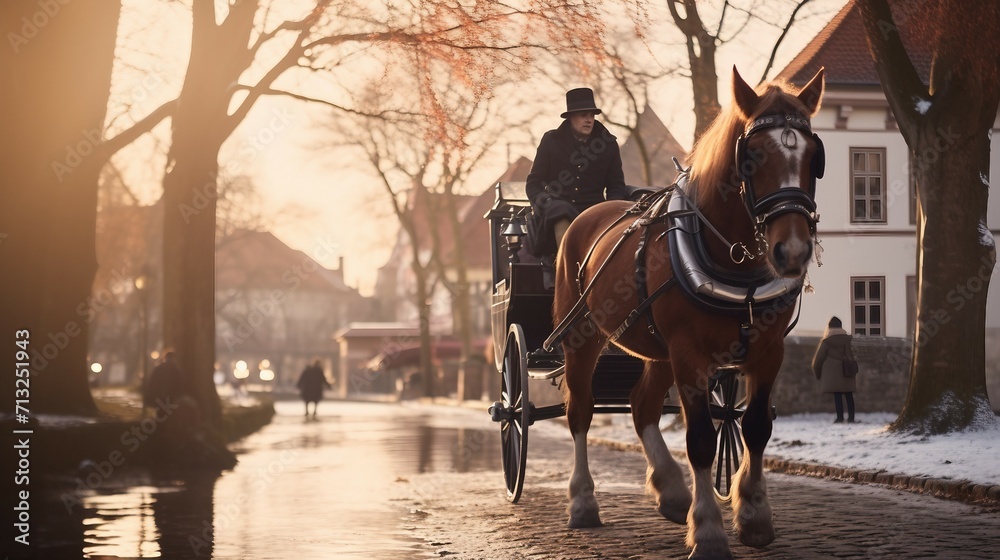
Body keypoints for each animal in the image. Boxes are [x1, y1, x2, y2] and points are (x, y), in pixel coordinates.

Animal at [556, 66, 828, 560]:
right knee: (581, 413)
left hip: (657, 351)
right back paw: (583, 502)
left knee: (641, 405)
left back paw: (671, 491)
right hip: (581, 339)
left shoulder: (767, 352)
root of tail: (589, 213)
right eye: (751, 156)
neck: (736, 263)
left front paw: (754, 516)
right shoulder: (690, 355)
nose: (793, 251)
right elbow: (701, 440)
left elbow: (755, 428)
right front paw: (708, 532)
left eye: (814, 156)